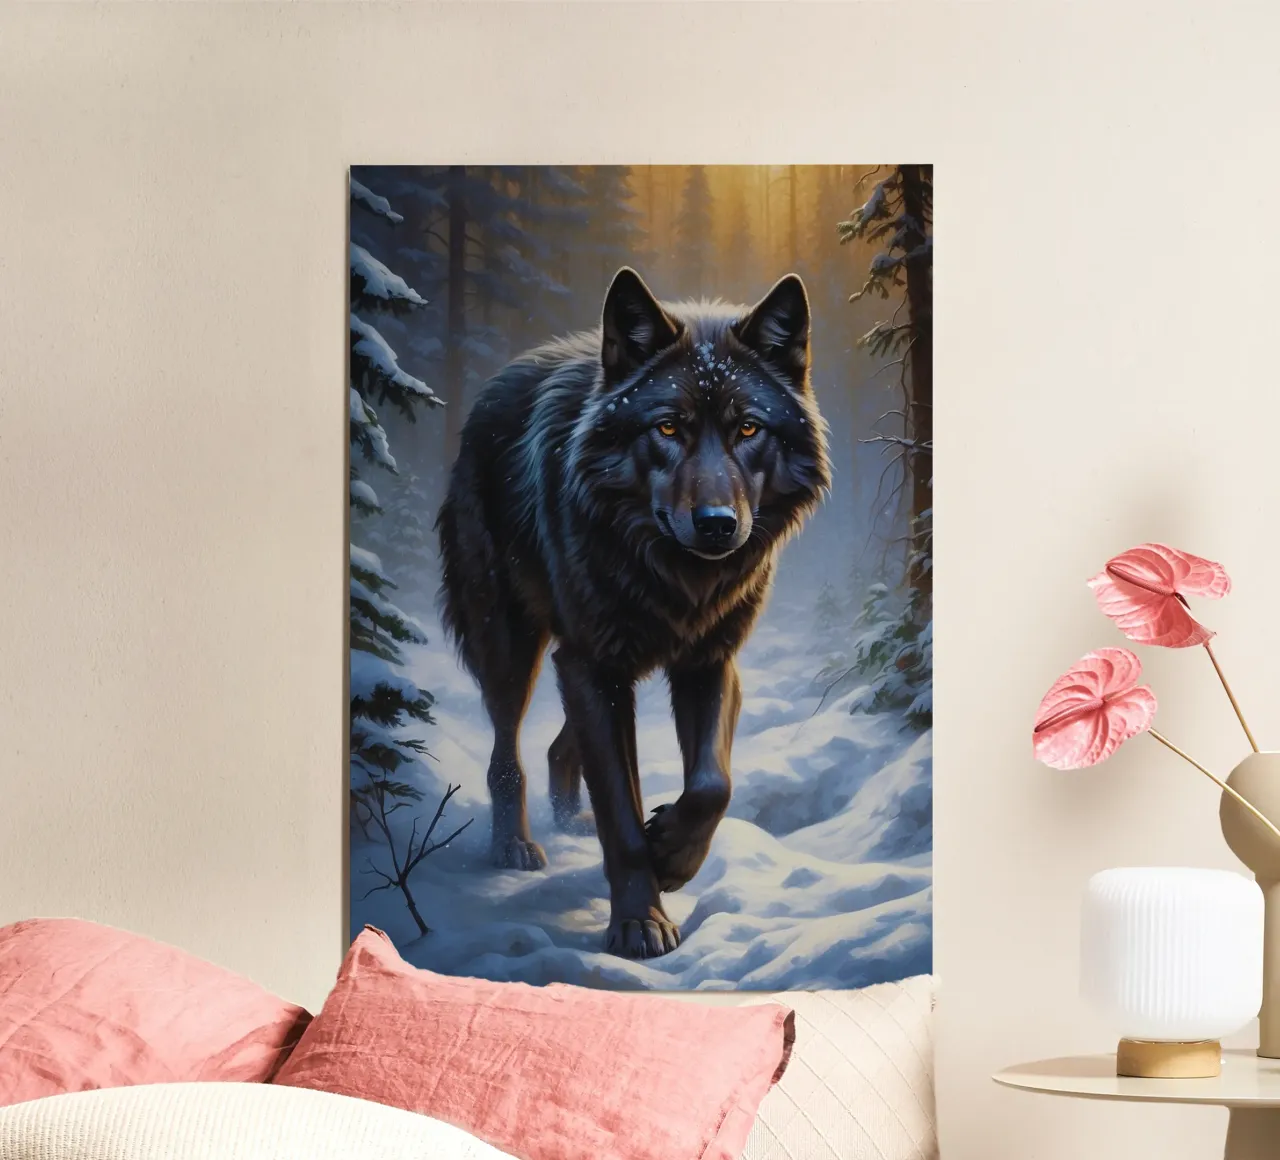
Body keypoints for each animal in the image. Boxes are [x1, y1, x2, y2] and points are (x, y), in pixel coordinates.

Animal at [437, 268, 830, 959]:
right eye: (668, 428)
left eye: (748, 429)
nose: (717, 524)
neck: (676, 578)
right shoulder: (593, 666)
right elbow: (621, 813)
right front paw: (639, 922)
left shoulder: (707, 663)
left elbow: (712, 784)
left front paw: (671, 853)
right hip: (518, 647)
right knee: (507, 752)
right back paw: (515, 845)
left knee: (560, 748)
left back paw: (572, 821)